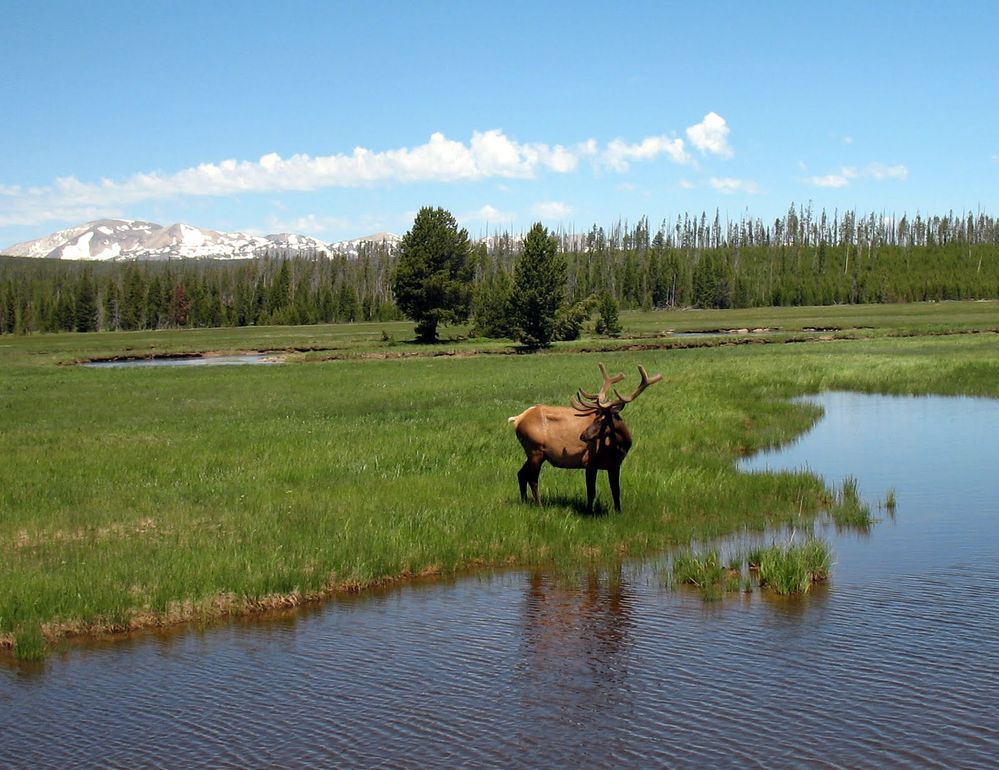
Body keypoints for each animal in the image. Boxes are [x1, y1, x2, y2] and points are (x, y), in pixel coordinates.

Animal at [508, 364, 664, 512]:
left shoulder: (615, 465)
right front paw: (589, 511)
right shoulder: (589, 462)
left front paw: (618, 511)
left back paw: (524, 501)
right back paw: (539, 505)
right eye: (596, 417)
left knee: (521, 474)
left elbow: (616, 491)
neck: (618, 447)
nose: (583, 435)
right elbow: (591, 491)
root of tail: (518, 419)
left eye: (603, 419)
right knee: (532, 479)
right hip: (535, 450)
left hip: (535, 453)